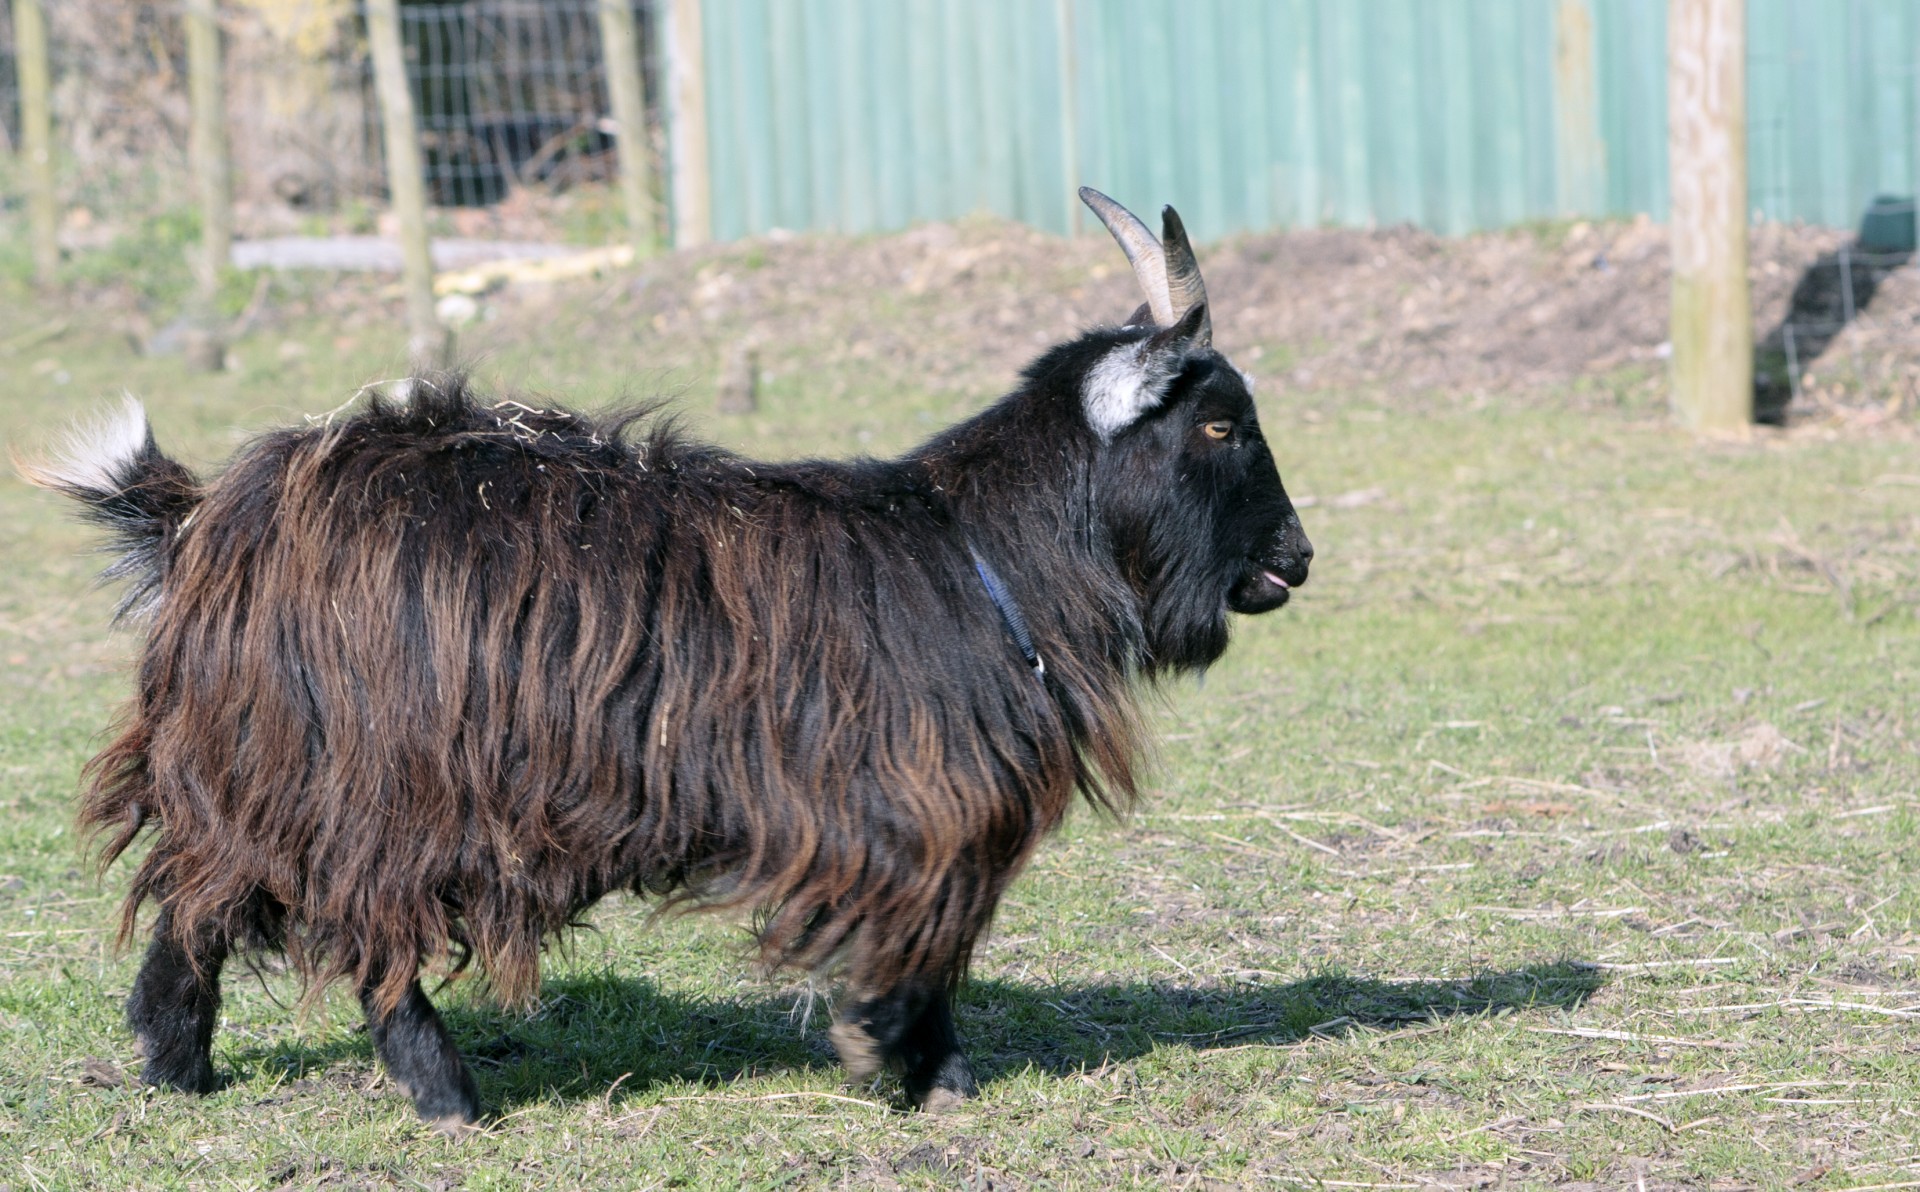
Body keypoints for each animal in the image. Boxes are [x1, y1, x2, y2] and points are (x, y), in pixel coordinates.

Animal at [30, 190, 1313, 1128]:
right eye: (1218, 422)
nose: (1295, 557)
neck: (978, 549)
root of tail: (212, 514)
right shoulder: (912, 810)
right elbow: (921, 947)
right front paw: (914, 1069)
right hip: (381, 779)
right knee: (360, 928)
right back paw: (445, 1094)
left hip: (264, 757)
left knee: (203, 889)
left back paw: (177, 1063)